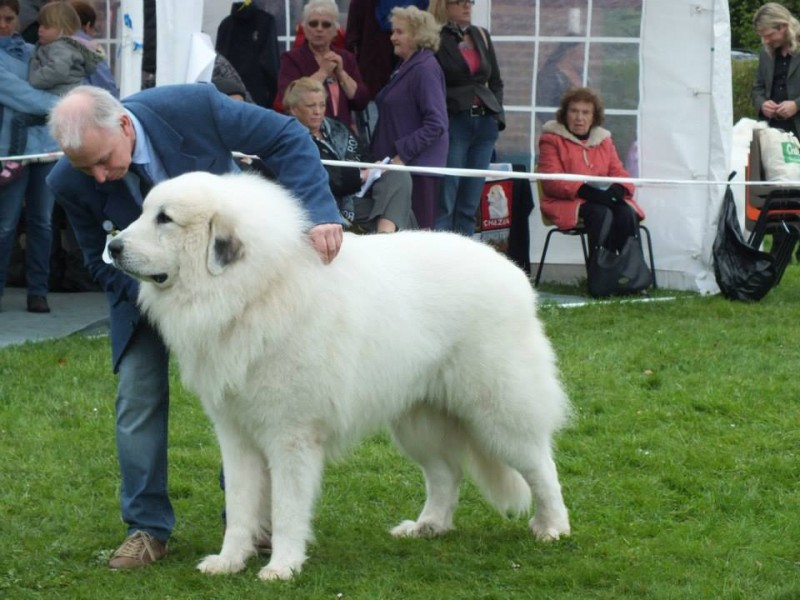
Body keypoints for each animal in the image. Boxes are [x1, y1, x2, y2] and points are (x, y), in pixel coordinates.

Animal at [109, 170, 572, 580]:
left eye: (164, 219)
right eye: (145, 211)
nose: (111, 245)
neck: (254, 291)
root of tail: (510, 269)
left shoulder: (291, 435)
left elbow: (287, 507)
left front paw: (281, 566)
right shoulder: (236, 435)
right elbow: (241, 505)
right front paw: (229, 561)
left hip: (498, 409)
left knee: (540, 466)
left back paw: (553, 528)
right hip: (417, 421)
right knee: (445, 473)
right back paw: (428, 525)